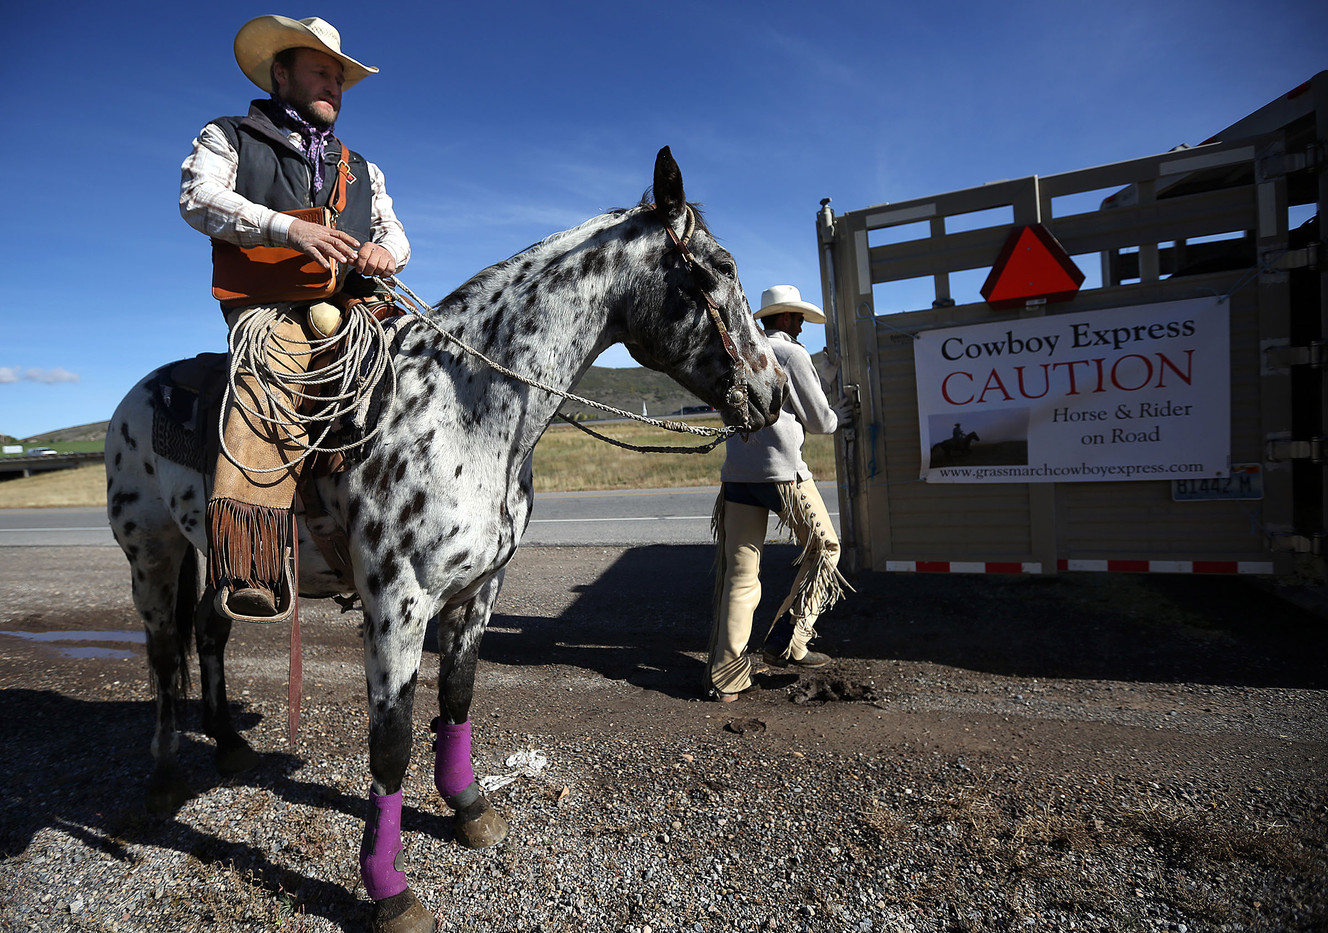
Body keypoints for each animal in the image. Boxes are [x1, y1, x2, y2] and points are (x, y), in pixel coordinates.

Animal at [104, 147, 786, 933]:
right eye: (719, 267)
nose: (774, 394)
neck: (462, 412)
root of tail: (133, 398)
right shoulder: (397, 605)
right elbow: (391, 741)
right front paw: (388, 888)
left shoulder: (481, 588)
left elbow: (457, 697)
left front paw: (468, 808)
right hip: (151, 554)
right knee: (164, 659)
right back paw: (162, 781)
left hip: (222, 556)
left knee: (209, 634)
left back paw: (228, 746)